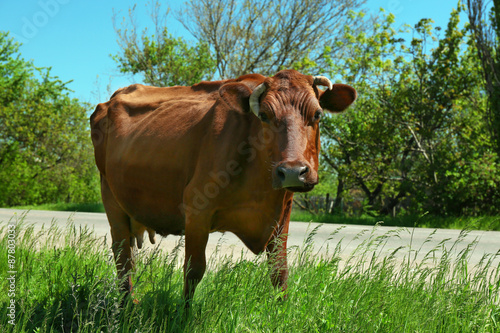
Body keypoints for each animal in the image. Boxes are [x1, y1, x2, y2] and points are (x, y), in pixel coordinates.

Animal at [90, 69, 356, 304]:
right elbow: (193, 270)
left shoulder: (283, 213)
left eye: (318, 114)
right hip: (111, 198)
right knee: (122, 258)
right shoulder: (197, 210)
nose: (292, 172)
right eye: (264, 115)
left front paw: (281, 313)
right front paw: (183, 315)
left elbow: (279, 271)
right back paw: (126, 306)